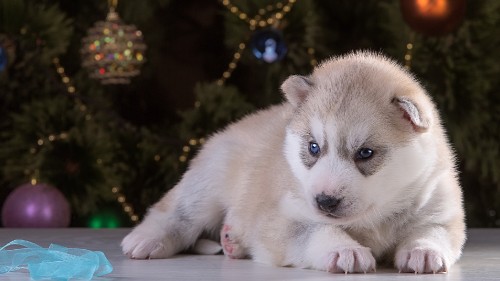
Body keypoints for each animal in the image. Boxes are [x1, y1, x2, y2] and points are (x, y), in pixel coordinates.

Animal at [123, 51, 466, 272]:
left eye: (365, 153)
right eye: (313, 147)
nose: (325, 201)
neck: (375, 218)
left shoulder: (439, 208)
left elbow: (432, 231)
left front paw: (423, 251)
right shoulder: (284, 218)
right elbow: (317, 231)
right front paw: (345, 249)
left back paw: (232, 241)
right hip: (208, 182)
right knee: (175, 211)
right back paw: (146, 239)